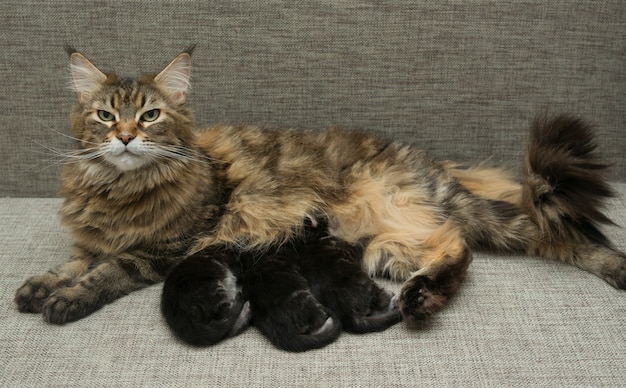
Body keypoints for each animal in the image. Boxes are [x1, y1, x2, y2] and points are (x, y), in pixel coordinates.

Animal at [14, 49, 624, 348]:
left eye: (150, 116)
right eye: (103, 115)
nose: (123, 137)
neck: (119, 190)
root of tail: (432, 165)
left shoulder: (169, 248)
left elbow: (107, 270)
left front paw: (66, 300)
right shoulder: (95, 239)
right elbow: (77, 258)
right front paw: (41, 285)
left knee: (487, 243)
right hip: (384, 246)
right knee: (455, 248)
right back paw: (423, 296)